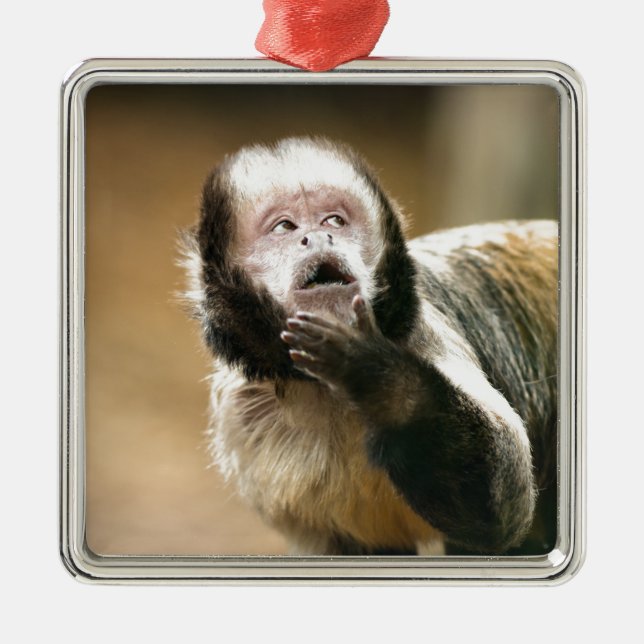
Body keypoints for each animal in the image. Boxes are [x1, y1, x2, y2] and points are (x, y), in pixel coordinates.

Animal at [181, 136, 558, 556]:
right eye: (285, 227)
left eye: (334, 221)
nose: (317, 237)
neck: (326, 388)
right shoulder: (242, 413)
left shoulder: (423, 332)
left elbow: (502, 510)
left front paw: (375, 375)